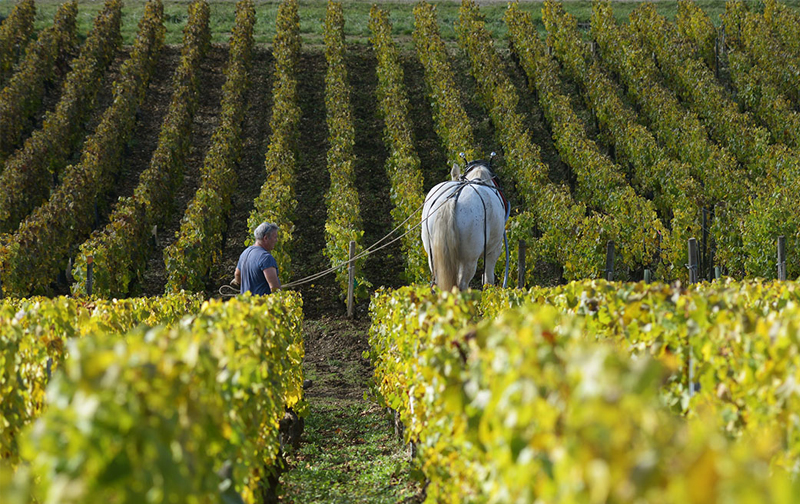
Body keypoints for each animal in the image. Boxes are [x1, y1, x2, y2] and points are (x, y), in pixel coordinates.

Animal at [422, 158, 510, 292]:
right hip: (469, 259)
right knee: (462, 284)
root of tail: (451, 199)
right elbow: (488, 280)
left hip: (433, 256)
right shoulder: (493, 250)